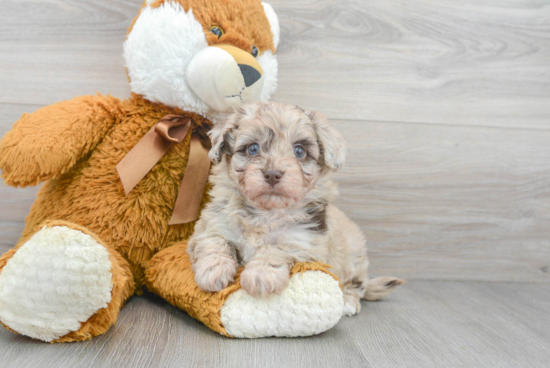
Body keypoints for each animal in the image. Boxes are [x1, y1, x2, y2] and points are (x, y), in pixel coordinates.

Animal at [188, 101, 408, 316]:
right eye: (252, 149)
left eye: (299, 151)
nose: (272, 174)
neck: (267, 212)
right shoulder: (212, 225)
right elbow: (214, 242)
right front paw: (213, 270)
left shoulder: (304, 242)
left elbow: (275, 248)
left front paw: (261, 274)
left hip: (354, 253)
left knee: (356, 283)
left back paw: (348, 301)